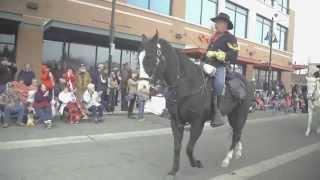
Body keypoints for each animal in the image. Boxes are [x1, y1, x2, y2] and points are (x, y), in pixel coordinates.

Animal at [140, 32, 252, 176]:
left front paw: (196, 163)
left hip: (241, 114)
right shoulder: (176, 122)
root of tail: (245, 81)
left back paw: (227, 159)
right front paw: (174, 170)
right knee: (237, 133)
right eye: (139, 57)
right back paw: (238, 151)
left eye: (150, 56)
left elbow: (189, 147)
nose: (142, 87)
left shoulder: (198, 122)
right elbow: (177, 147)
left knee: (237, 133)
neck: (186, 84)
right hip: (232, 114)